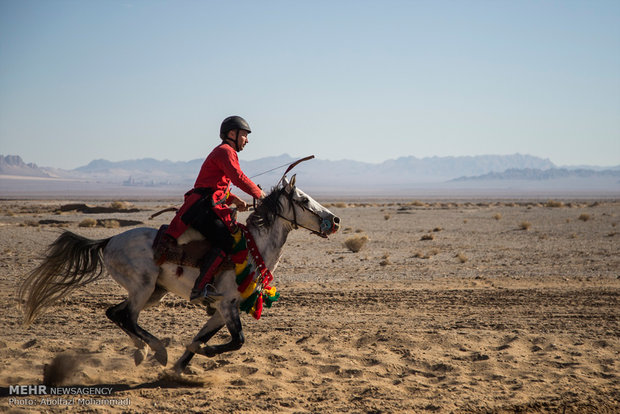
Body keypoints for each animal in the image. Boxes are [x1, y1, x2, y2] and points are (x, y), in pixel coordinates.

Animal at [19, 175, 342, 376]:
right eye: (303, 200)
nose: (335, 220)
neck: (254, 247)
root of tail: (108, 241)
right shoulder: (227, 305)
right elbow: (237, 341)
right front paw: (199, 352)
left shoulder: (222, 310)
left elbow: (202, 337)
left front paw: (181, 365)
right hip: (143, 288)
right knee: (126, 316)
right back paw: (157, 350)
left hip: (154, 293)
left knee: (116, 313)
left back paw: (142, 352)